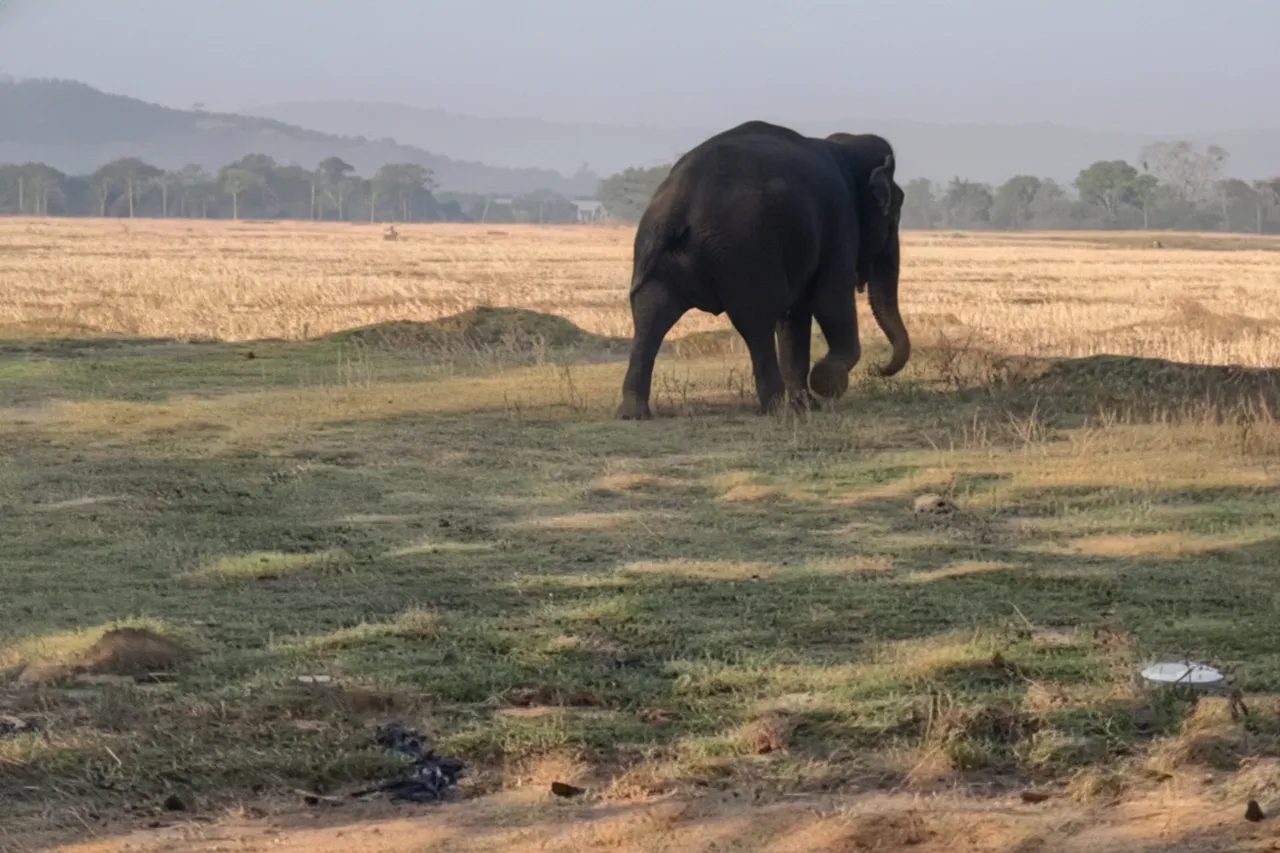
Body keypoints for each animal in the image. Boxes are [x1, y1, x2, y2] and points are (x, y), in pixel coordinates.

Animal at [615, 120, 910, 420]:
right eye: (895, 212)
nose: (878, 369)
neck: (844, 147)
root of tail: (679, 204)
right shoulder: (840, 221)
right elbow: (829, 301)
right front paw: (825, 382)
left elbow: (795, 315)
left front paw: (809, 405)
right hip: (744, 250)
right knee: (757, 320)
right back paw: (777, 408)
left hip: (659, 251)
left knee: (649, 315)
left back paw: (633, 413)